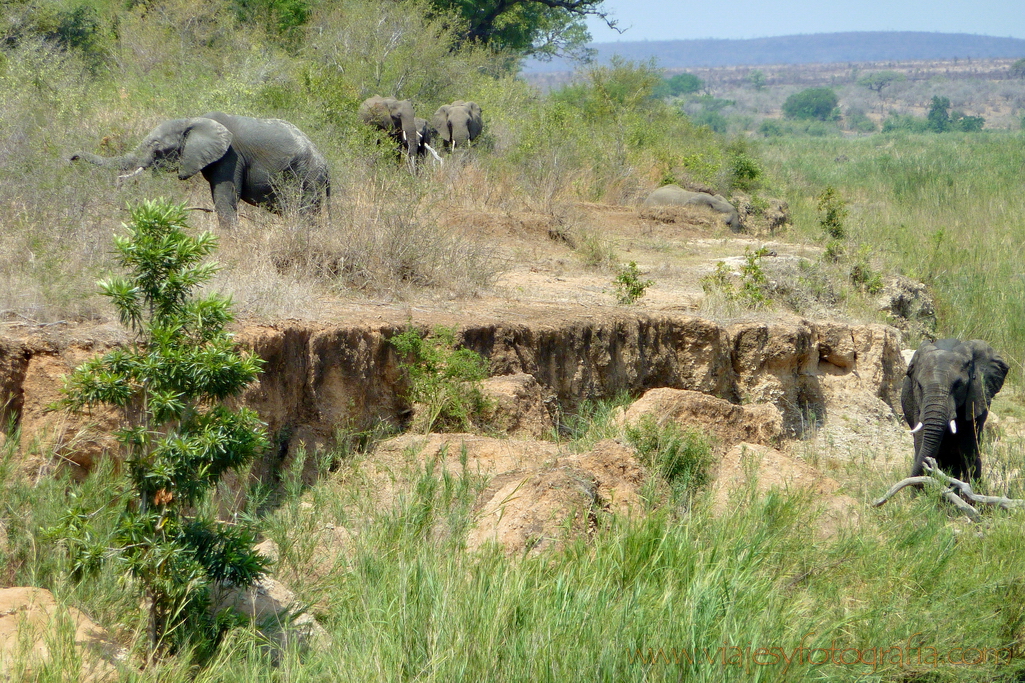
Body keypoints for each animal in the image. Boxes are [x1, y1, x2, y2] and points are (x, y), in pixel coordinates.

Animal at [70, 112, 330, 228]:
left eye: (157, 147)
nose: (72, 157)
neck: (192, 121)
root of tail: (327, 167)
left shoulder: (230, 156)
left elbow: (226, 198)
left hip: (307, 177)